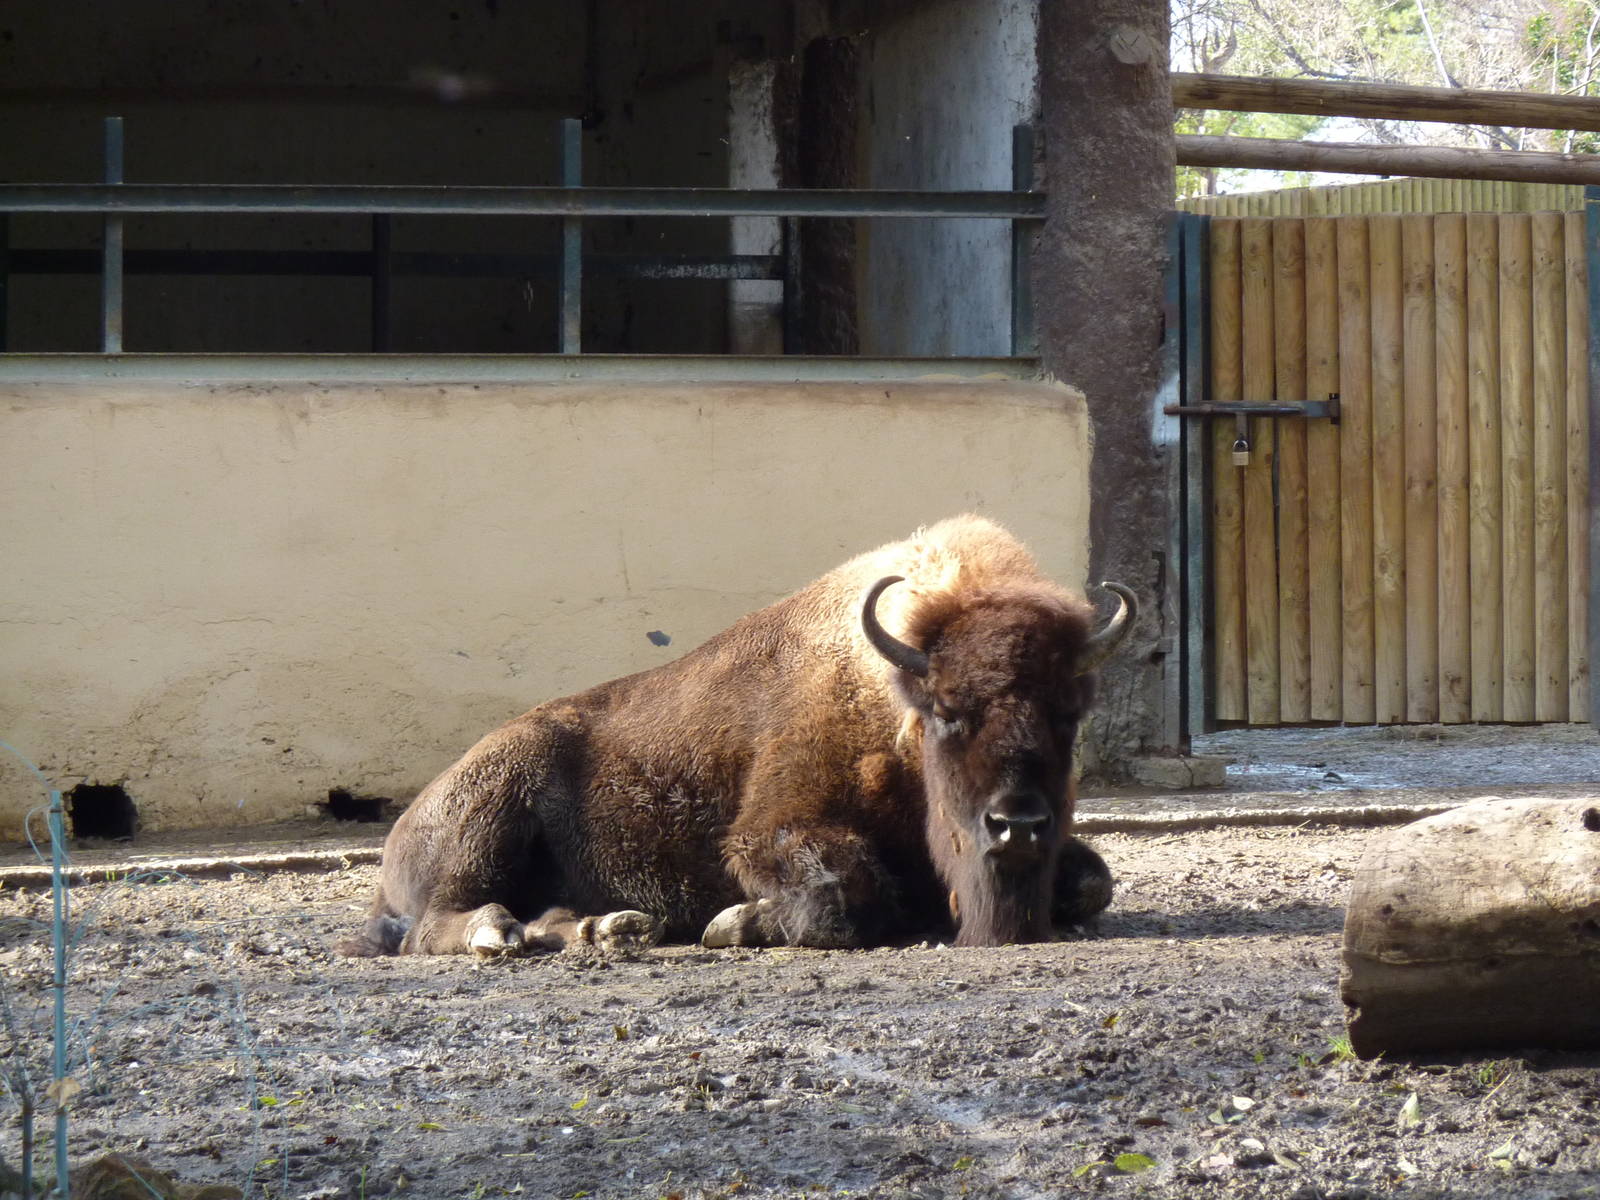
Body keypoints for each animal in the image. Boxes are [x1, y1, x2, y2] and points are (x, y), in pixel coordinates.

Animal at [336, 515, 1135, 957]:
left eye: (1069, 710)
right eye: (946, 708)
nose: (1016, 825)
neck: (889, 691)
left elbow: (1093, 880)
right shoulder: (771, 831)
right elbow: (841, 896)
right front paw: (733, 923)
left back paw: (610, 931)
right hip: (485, 822)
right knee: (437, 925)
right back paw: (500, 934)